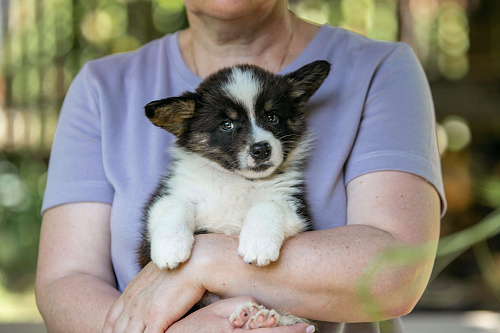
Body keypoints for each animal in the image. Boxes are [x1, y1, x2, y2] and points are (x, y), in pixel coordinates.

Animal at [139, 60, 330, 330]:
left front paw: (258, 244)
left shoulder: (294, 206)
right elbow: (176, 207)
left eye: (272, 116)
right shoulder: (169, 194)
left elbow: (268, 205)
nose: (261, 149)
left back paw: (260, 319)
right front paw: (170, 249)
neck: (236, 180)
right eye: (226, 125)